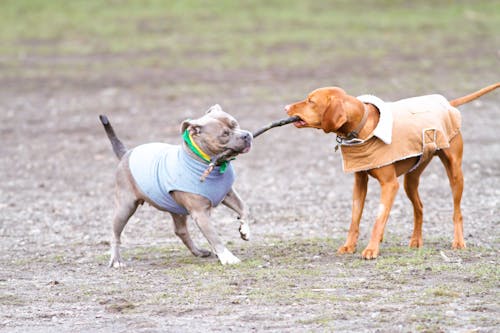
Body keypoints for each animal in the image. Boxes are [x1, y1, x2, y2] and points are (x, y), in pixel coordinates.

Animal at [99, 105, 252, 266]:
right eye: (225, 134)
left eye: (235, 124)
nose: (246, 135)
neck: (210, 164)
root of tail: (126, 153)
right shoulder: (200, 213)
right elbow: (214, 236)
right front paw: (227, 257)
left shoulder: (228, 194)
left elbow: (244, 208)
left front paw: (244, 230)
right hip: (125, 207)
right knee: (115, 234)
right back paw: (116, 260)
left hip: (176, 209)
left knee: (180, 231)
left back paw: (199, 252)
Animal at [286, 83, 500, 260]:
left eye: (311, 101)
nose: (286, 108)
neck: (363, 129)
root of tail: (447, 103)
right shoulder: (360, 183)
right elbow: (355, 219)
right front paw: (349, 246)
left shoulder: (390, 184)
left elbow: (378, 219)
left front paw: (371, 249)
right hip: (411, 179)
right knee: (419, 207)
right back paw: (416, 240)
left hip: (455, 172)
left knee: (457, 212)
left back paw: (458, 241)